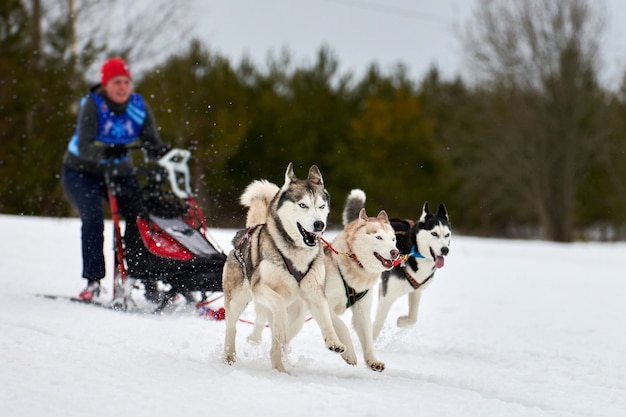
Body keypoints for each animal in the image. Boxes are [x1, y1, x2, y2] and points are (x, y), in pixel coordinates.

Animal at [222, 163, 344, 374]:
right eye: (303, 205)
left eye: (321, 206)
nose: (319, 225)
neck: (296, 254)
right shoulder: (260, 287)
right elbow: (279, 304)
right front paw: (283, 331)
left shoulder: (315, 293)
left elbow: (326, 319)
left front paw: (334, 342)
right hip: (238, 300)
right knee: (232, 327)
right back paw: (229, 357)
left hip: (296, 311)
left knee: (276, 343)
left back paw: (280, 367)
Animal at [322, 188, 394, 370]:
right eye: (378, 237)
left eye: (393, 239)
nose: (395, 252)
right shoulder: (324, 304)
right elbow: (342, 326)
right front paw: (349, 353)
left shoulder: (362, 310)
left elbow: (368, 339)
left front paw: (372, 361)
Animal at [370, 202, 448, 338]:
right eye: (434, 234)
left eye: (447, 235)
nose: (445, 250)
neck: (414, 252)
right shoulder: (388, 294)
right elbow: (377, 324)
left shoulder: (416, 290)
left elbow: (413, 318)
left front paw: (402, 321)